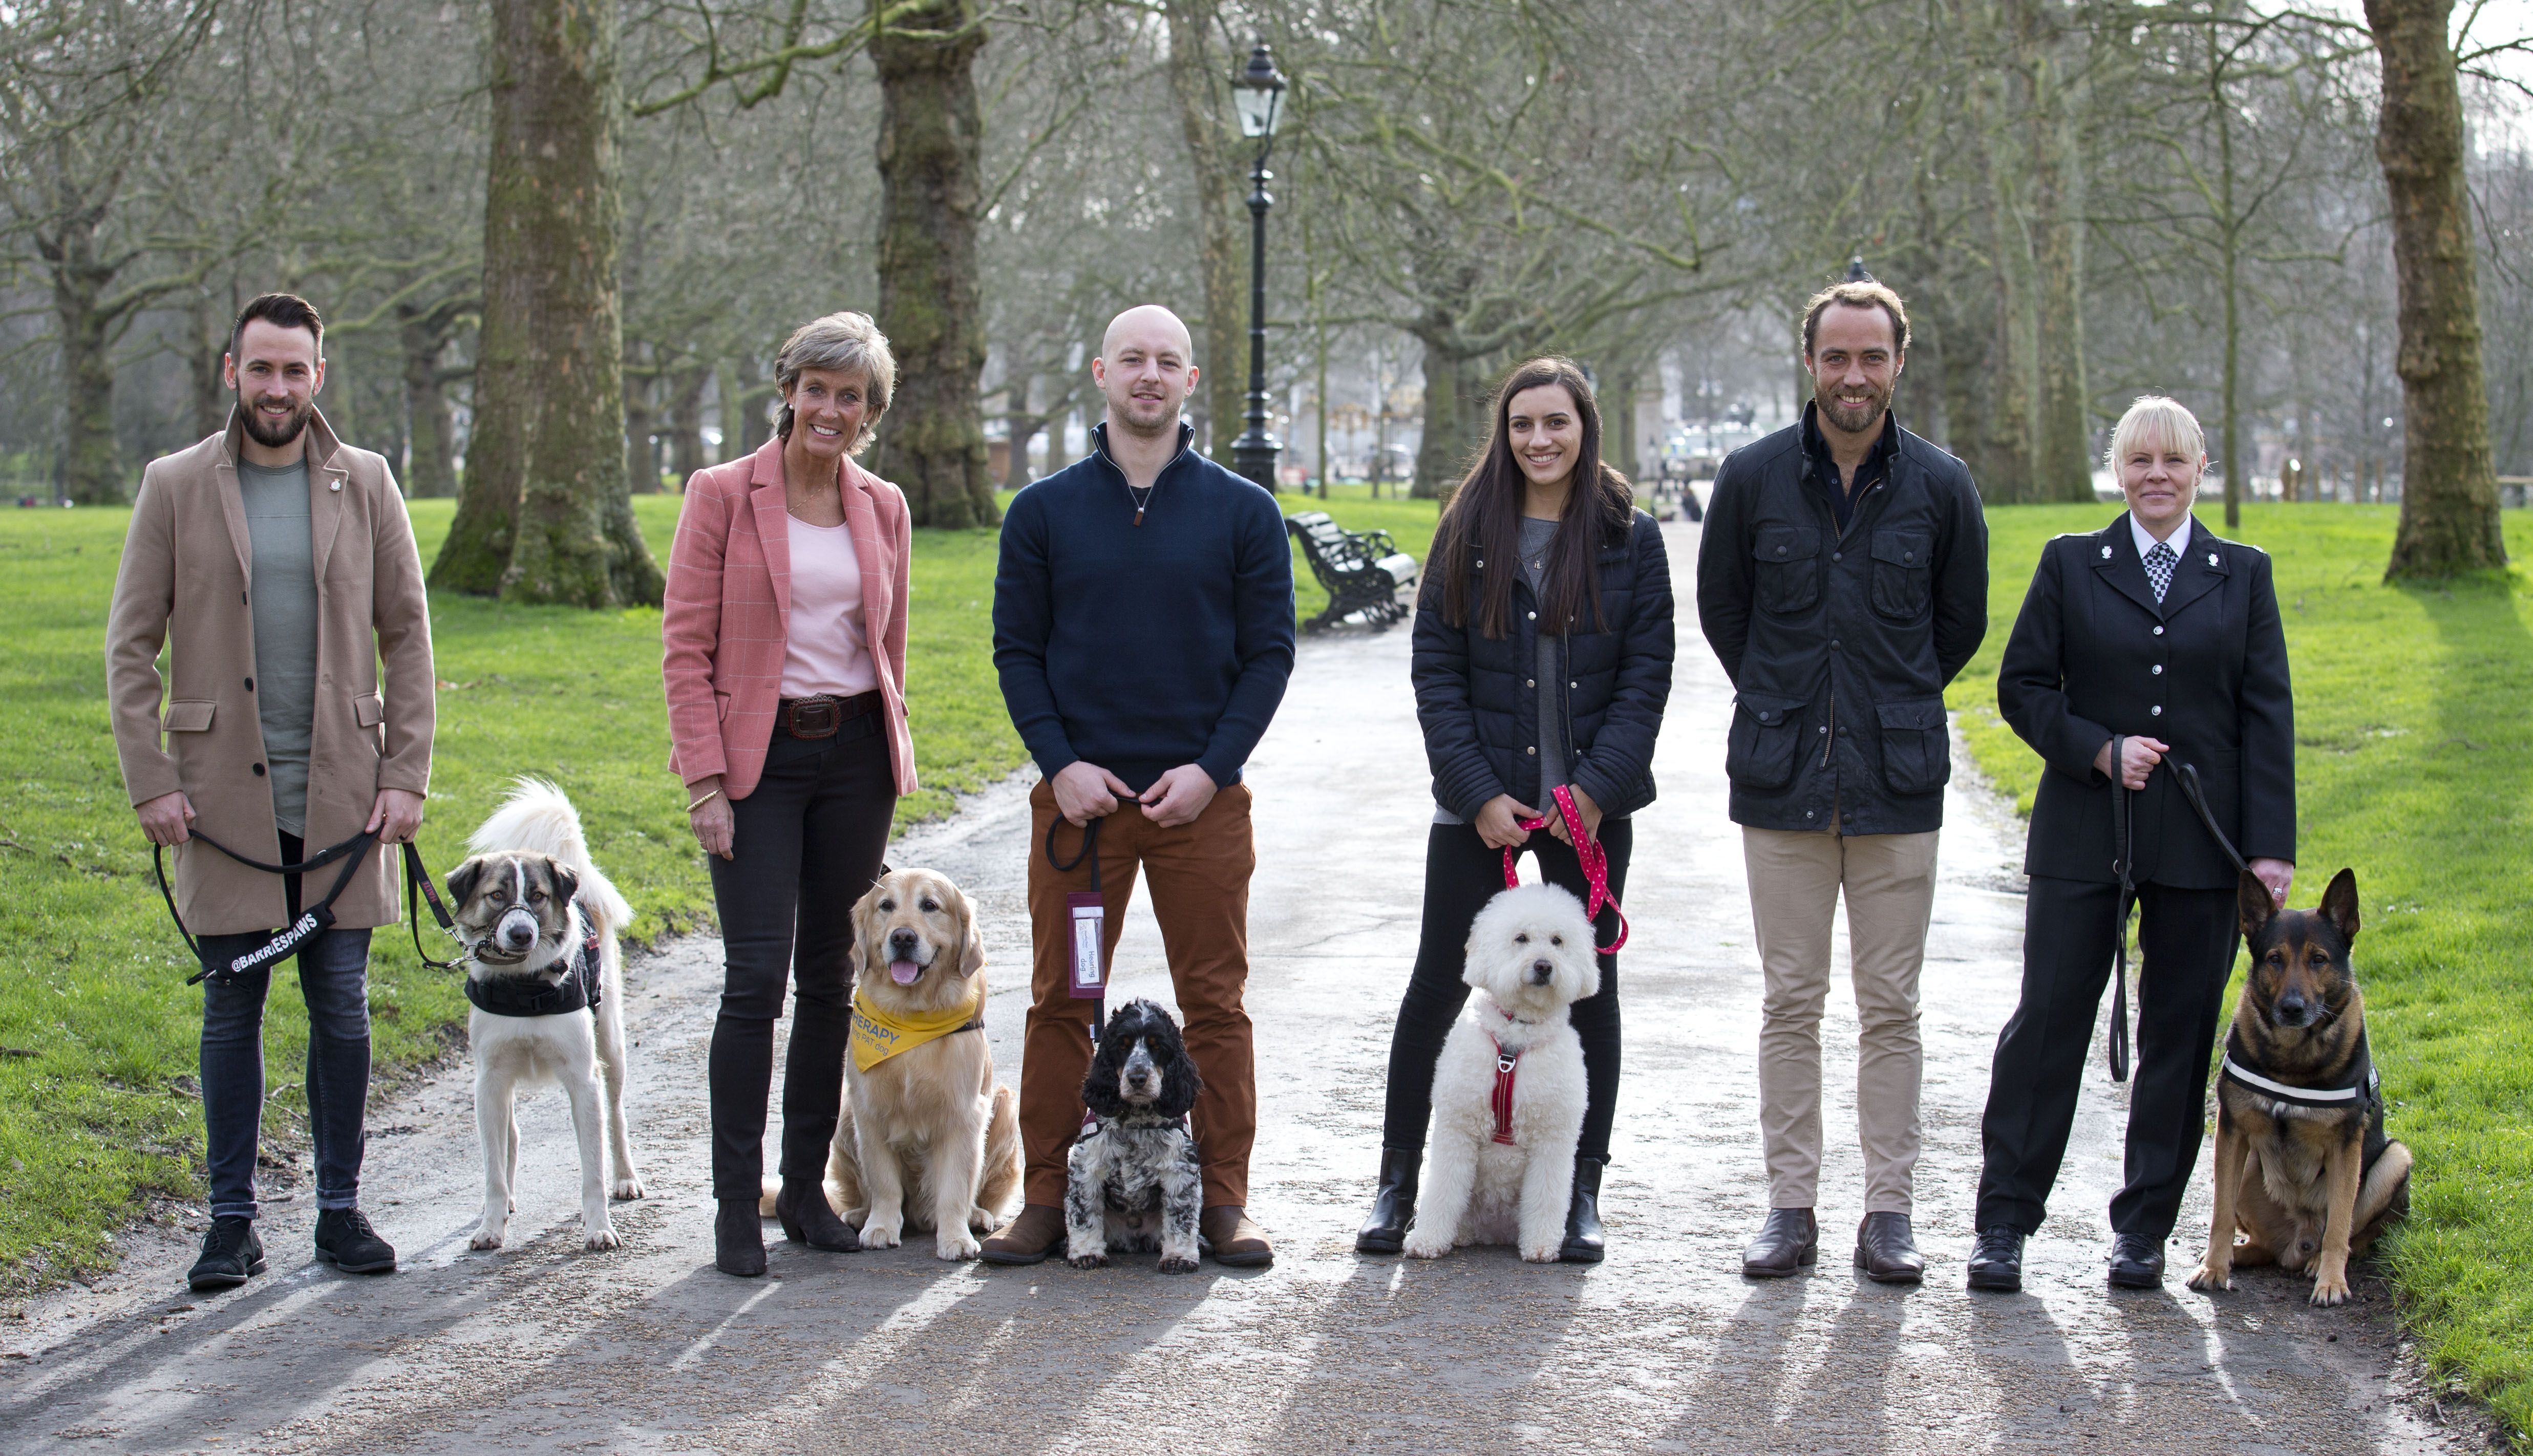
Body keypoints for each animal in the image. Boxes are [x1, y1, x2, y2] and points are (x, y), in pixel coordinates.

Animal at [451, 785, 643, 1256]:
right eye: (496, 896)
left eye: (537, 896)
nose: (521, 933)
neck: (525, 987)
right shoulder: (489, 1080)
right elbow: (493, 1166)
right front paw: (492, 1224)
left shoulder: (582, 1079)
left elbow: (592, 1169)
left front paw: (599, 1228)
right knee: (511, 1135)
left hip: (611, 1044)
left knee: (617, 1116)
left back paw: (626, 1178)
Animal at [1408, 881, 1601, 1271]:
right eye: (1521, 938)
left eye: (1557, 941)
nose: (1543, 966)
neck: (1516, 1038)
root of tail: (1494, 1233)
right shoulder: (1457, 1129)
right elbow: (1443, 1190)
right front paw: (1428, 1240)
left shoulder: (1552, 1139)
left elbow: (1546, 1196)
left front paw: (1541, 1245)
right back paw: (1460, 1234)